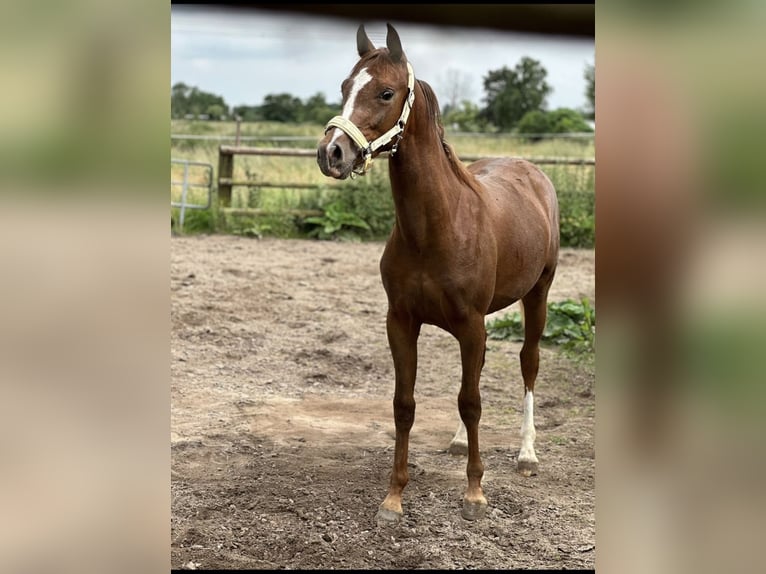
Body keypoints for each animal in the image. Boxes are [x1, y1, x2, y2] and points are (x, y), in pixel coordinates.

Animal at [316, 23, 560, 528]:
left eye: (386, 92)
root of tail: (531, 172)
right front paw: (393, 498)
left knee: (528, 363)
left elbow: (472, 402)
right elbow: (404, 404)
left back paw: (527, 454)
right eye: (345, 87)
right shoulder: (402, 322)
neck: (437, 226)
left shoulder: (470, 324)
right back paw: (460, 442)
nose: (331, 152)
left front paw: (475, 494)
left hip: (538, 295)